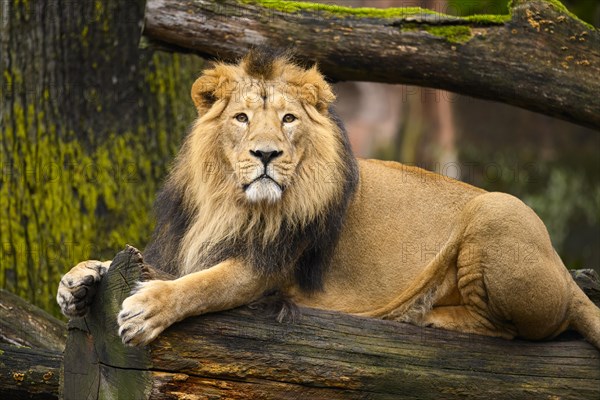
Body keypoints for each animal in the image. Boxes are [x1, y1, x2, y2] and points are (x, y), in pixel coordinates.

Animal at [56, 50, 600, 350]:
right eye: (241, 118)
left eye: (289, 119)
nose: (267, 153)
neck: (228, 200)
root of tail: (561, 268)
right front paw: (78, 279)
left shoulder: (264, 266)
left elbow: (201, 286)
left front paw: (148, 309)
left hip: (499, 208)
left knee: (517, 332)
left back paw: (425, 315)